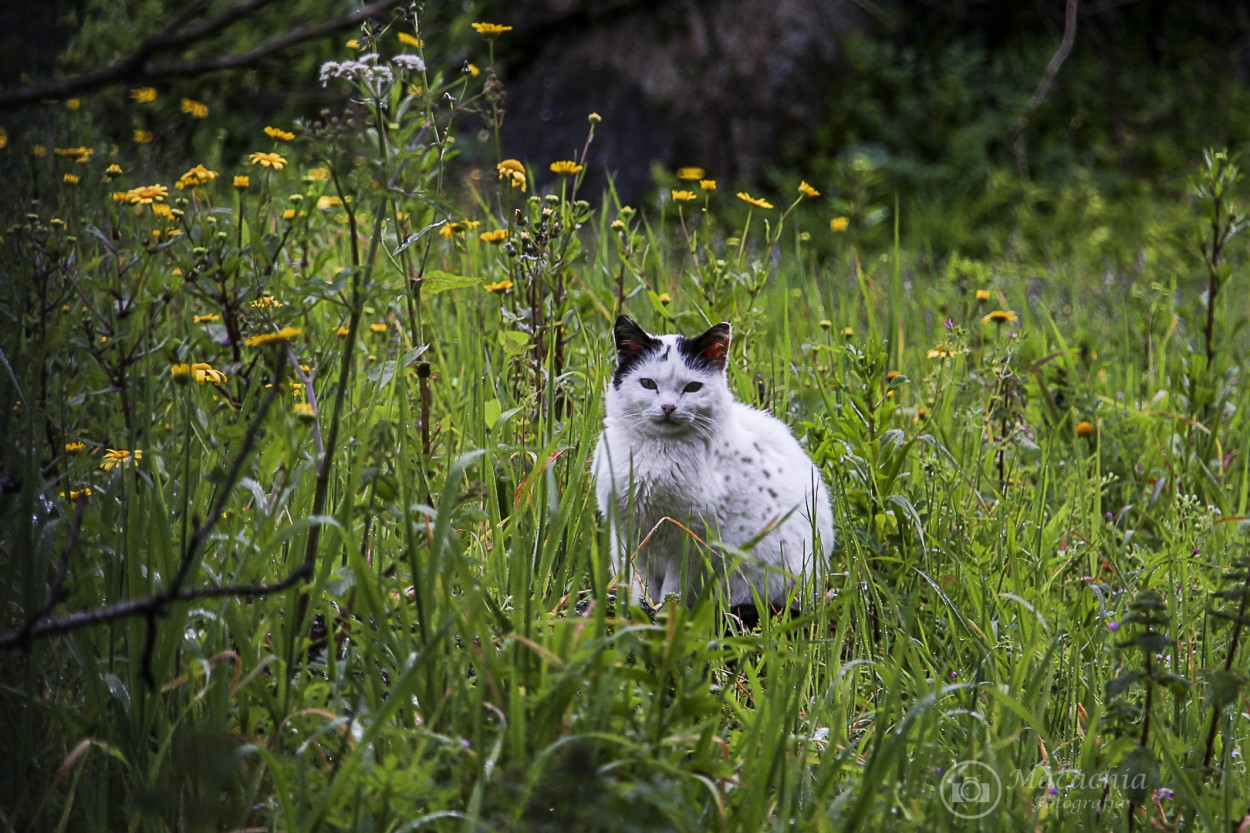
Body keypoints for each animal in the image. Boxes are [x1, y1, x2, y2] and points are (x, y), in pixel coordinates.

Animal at [592, 312, 835, 610]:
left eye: (693, 387)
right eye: (648, 384)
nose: (668, 407)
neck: (659, 453)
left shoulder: (691, 542)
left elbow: (673, 588)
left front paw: (666, 612)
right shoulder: (629, 535)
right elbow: (641, 585)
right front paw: (640, 610)